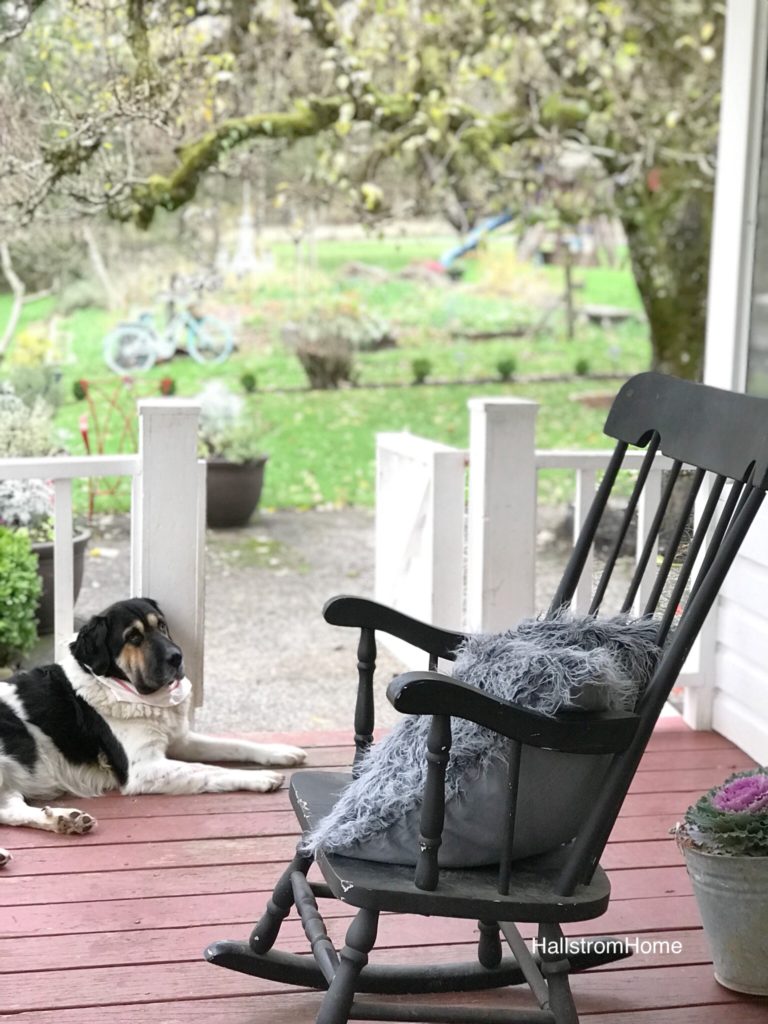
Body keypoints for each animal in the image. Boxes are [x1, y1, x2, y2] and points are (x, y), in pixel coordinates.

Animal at [0, 598, 307, 868]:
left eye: (160, 625)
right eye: (133, 637)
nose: (177, 657)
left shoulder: (180, 740)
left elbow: (234, 745)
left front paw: (279, 751)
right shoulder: (143, 768)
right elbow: (208, 769)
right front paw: (259, 777)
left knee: (10, 811)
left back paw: (65, 820)